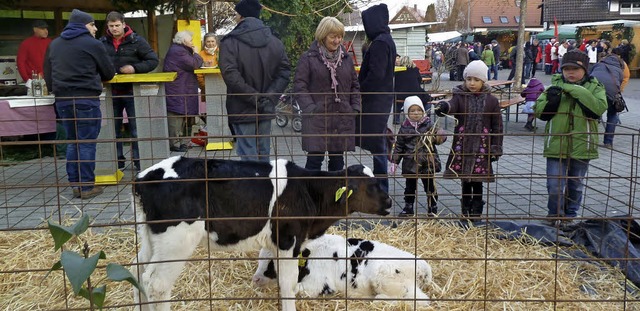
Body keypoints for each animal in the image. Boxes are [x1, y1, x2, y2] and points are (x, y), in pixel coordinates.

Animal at [130, 157, 390, 310]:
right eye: (370, 187)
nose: (389, 201)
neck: (307, 189)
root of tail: (144, 177)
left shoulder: (277, 242)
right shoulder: (288, 238)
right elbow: (288, 284)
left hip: (151, 237)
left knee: (137, 270)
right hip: (176, 240)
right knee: (157, 283)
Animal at [252, 234, 432, 308]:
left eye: (272, 264)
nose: (255, 279)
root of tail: (423, 267)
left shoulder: (316, 285)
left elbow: (296, 291)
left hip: (386, 277)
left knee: (421, 300)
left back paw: (379, 299)